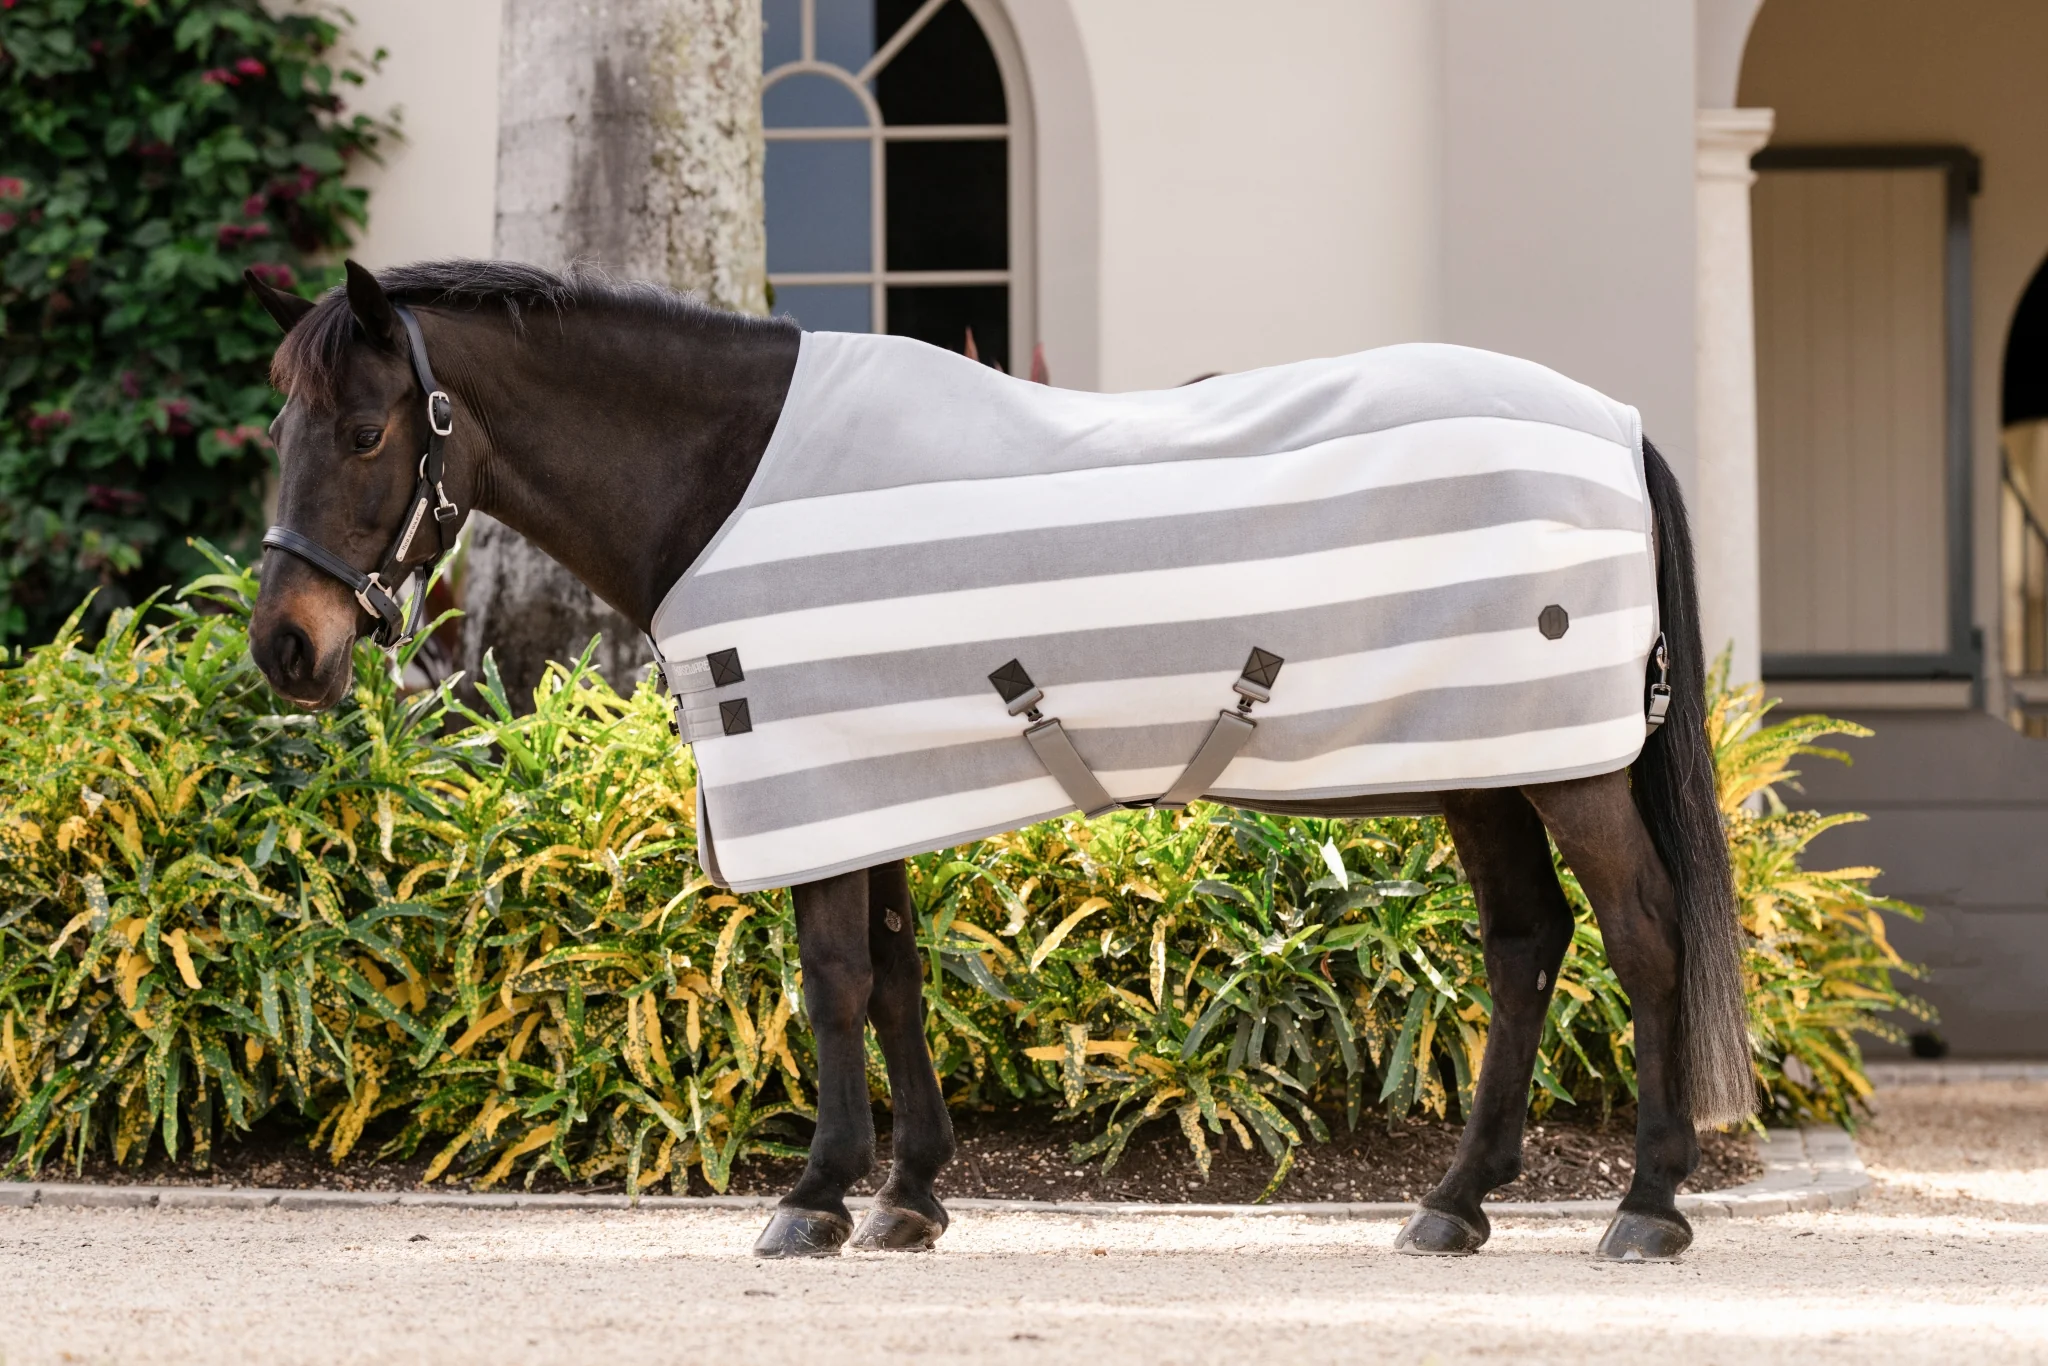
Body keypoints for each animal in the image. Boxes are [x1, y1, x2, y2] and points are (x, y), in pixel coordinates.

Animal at [244, 258, 1753, 1262]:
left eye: (366, 431)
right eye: (282, 427)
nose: (285, 647)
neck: (728, 478)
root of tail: (1615, 423)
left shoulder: (817, 773)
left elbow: (834, 979)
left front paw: (815, 1196)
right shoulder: (874, 782)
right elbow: (895, 975)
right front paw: (908, 1193)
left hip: (1562, 767)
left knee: (1643, 934)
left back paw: (1646, 1207)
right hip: (1486, 758)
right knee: (1526, 941)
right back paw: (1455, 1203)